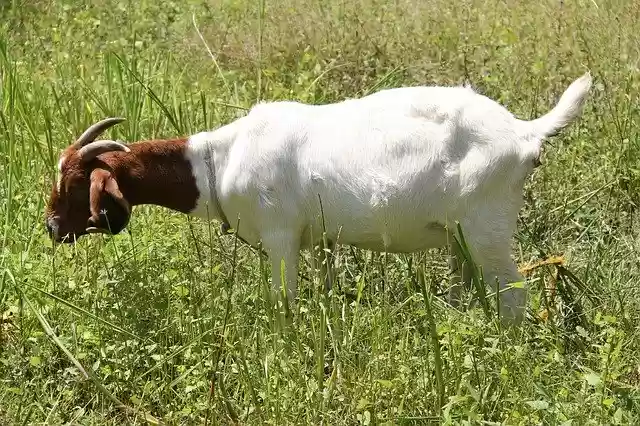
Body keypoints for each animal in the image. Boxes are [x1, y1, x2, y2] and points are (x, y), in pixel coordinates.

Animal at [45, 72, 592, 324]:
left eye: (73, 182)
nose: (51, 227)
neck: (222, 158)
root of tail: (524, 132)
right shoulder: (323, 240)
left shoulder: (280, 235)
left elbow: (283, 301)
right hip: (461, 237)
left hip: (487, 228)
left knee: (513, 296)